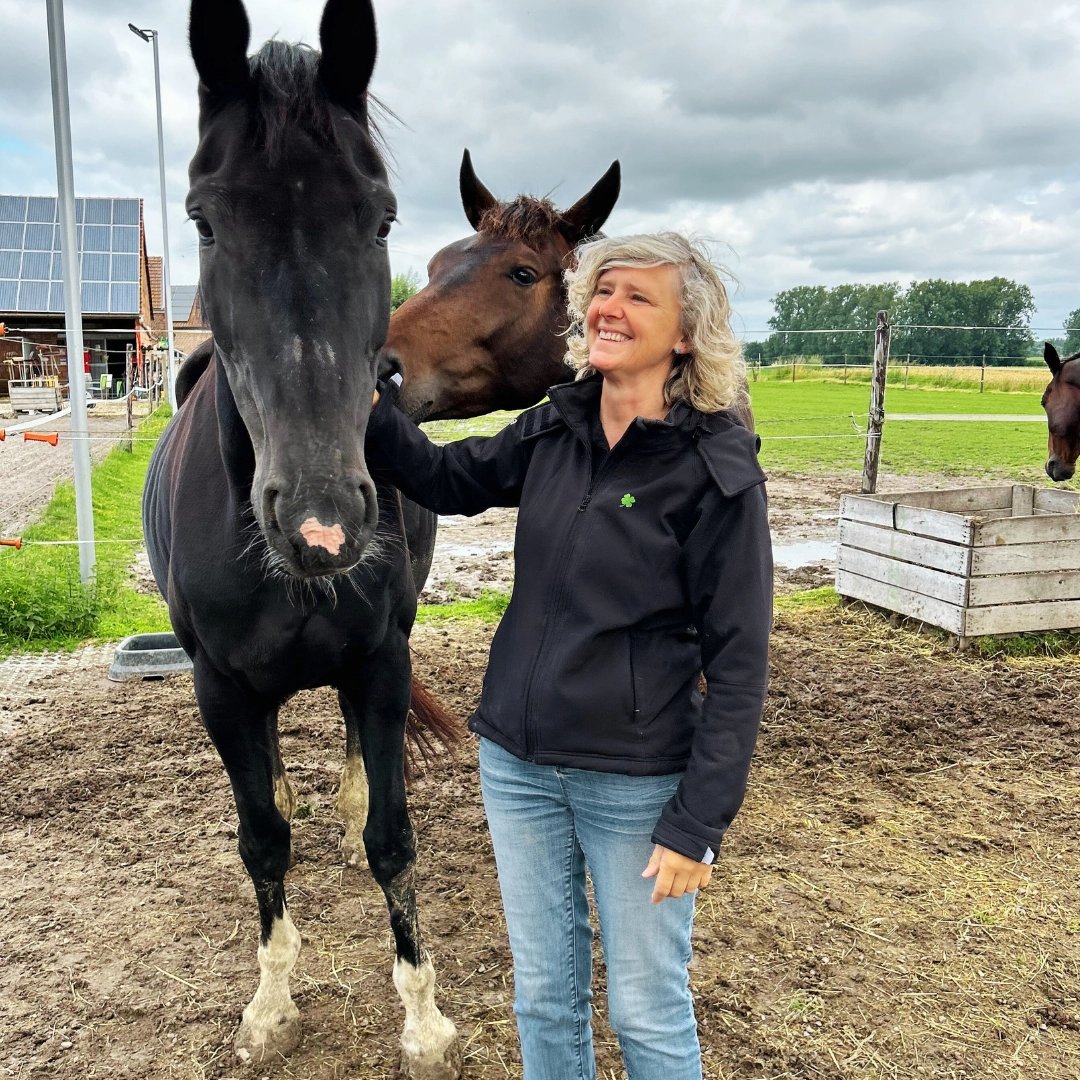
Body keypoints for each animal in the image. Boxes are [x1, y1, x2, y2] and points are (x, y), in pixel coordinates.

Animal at [142, 3, 460, 1075]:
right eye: (204, 217)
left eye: (383, 217)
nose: (322, 521)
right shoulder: (221, 688)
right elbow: (262, 839)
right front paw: (271, 1008)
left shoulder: (382, 662)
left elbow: (393, 839)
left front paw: (423, 1020)